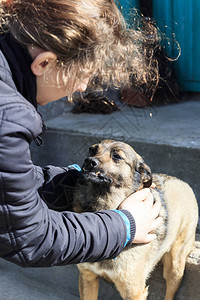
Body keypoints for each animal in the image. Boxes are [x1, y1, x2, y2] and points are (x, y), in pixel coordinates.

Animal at [73, 140, 198, 300]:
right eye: (92, 150)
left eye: (117, 156)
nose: (89, 161)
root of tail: (184, 183)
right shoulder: (87, 277)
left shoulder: (133, 291)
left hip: (175, 266)